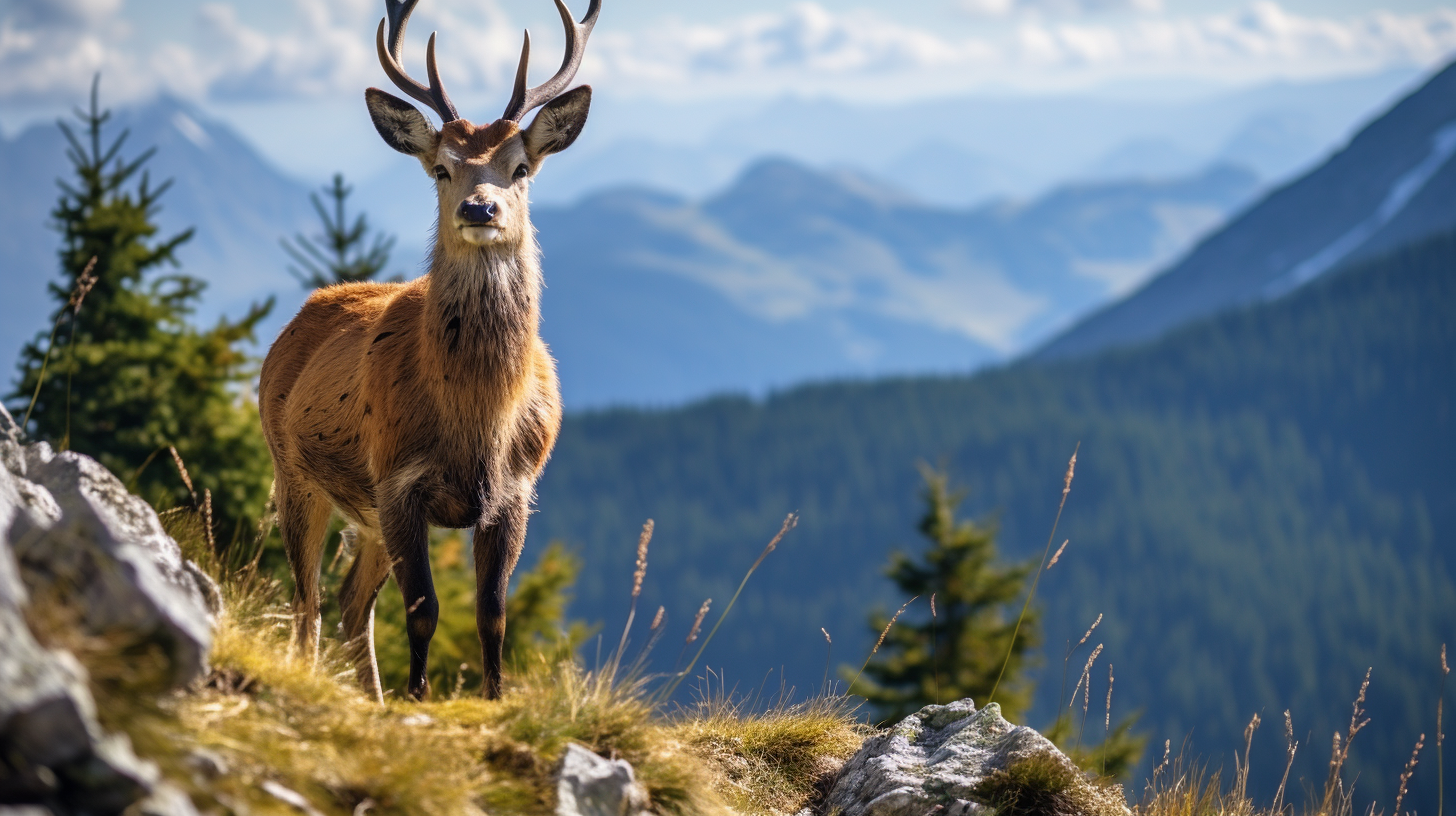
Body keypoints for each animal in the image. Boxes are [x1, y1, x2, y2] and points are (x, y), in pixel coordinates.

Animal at [259, 0, 599, 702]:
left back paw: (373, 695)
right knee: (306, 605)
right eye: (442, 167)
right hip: (294, 473)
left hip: (363, 517)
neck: (474, 422)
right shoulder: (397, 479)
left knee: (348, 604)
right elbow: (423, 612)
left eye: (520, 167)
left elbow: (492, 615)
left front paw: (494, 701)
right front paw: (417, 699)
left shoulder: (515, 492)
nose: (479, 207)